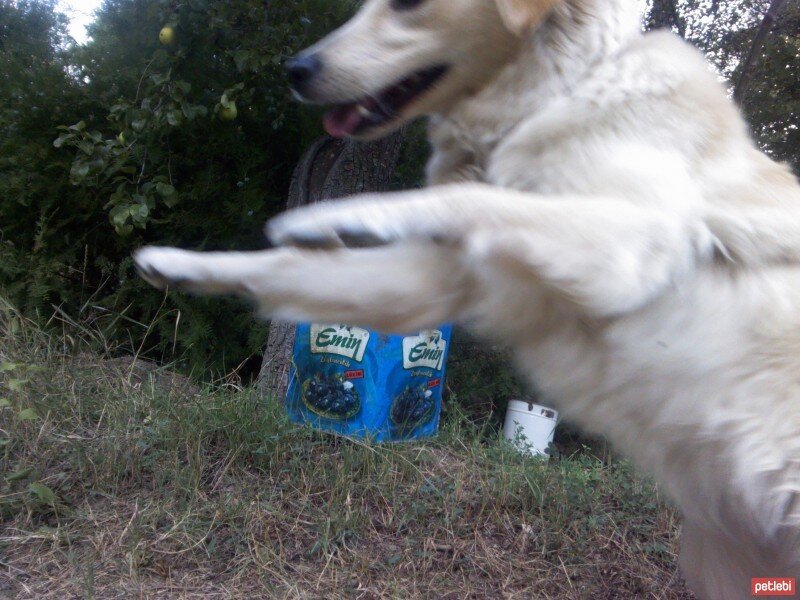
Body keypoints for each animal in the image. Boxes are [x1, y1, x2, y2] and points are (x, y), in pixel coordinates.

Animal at [134, 0, 800, 596]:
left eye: (407, 1)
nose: (296, 69)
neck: (555, 94)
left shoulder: (631, 246)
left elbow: (472, 197)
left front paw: (341, 214)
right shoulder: (438, 281)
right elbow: (284, 269)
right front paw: (182, 264)